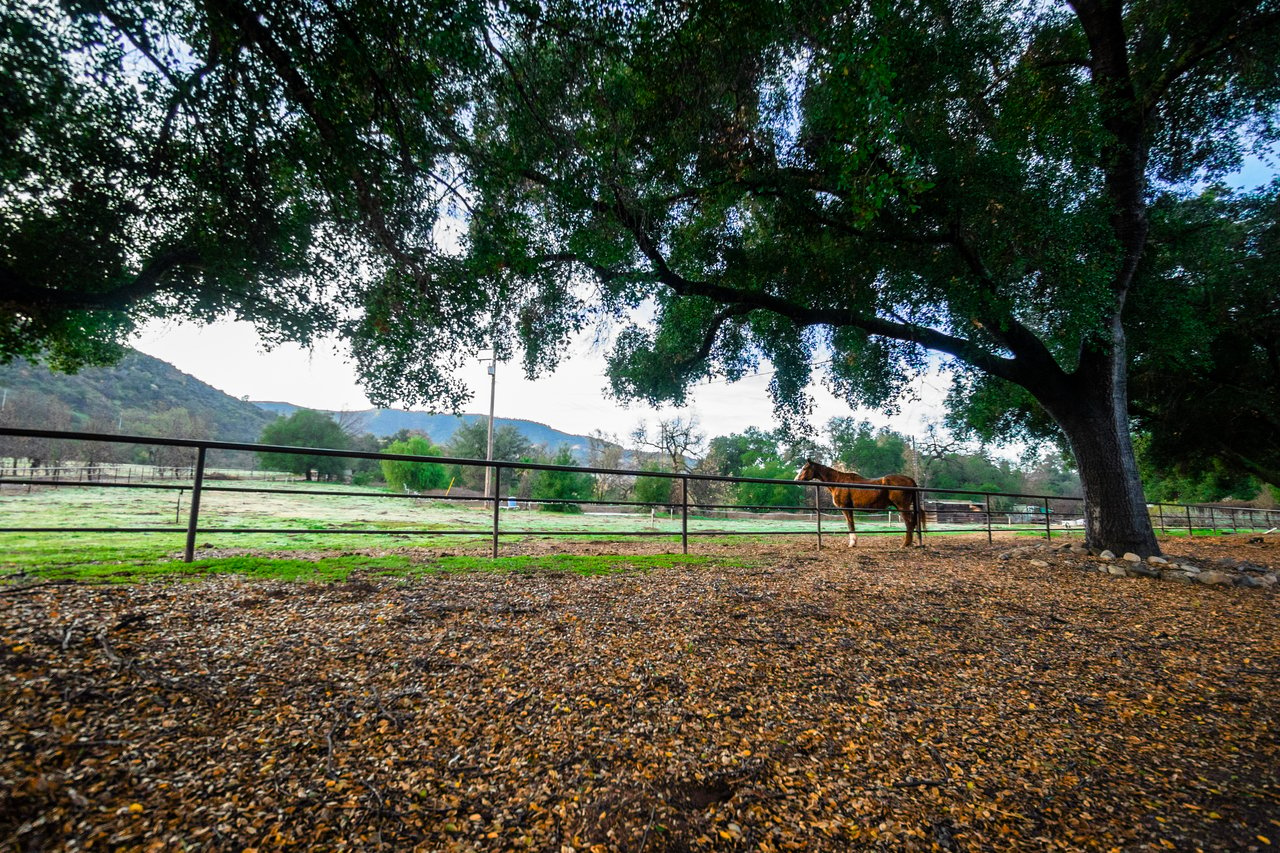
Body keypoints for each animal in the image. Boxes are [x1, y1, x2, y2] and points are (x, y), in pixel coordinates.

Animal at [793, 458, 926, 545]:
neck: (838, 482)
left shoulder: (846, 508)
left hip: (902, 507)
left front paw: (852, 543)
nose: (796, 480)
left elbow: (850, 524)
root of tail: (910, 480)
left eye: (805, 468)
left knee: (909, 523)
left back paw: (905, 544)